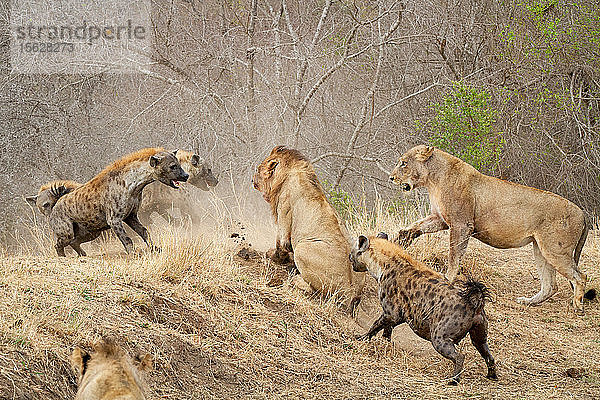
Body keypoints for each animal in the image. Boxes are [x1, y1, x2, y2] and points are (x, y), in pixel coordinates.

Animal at [251, 146, 364, 310]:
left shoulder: (284, 211)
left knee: (314, 290)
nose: (252, 179)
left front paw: (273, 256)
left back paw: (296, 278)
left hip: (302, 249)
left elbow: (280, 245)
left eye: (258, 169)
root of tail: (351, 292)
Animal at [390, 145, 592, 314]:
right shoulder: (440, 219)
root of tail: (582, 212)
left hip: (556, 249)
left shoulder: (461, 224)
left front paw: (447, 280)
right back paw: (527, 302)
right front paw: (401, 238)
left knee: (580, 276)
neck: (433, 179)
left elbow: (454, 256)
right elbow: (416, 226)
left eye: (403, 163)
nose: (391, 178)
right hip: (540, 248)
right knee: (550, 285)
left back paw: (577, 306)